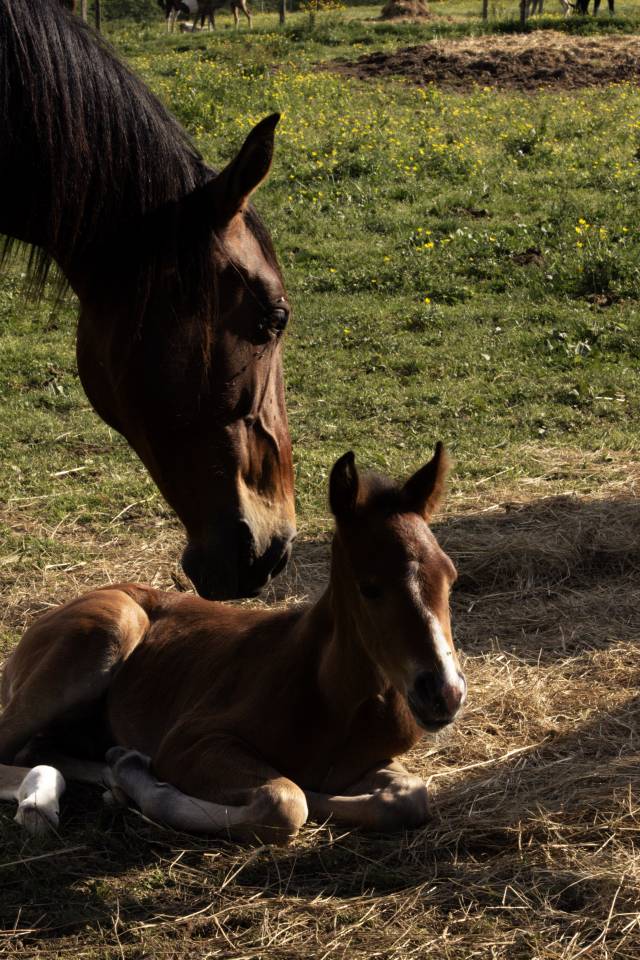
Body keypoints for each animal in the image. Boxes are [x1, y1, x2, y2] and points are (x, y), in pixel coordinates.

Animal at [0, 444, 466, 843]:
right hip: (111, 626)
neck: (332, 697)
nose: (444, 692)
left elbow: (407, 797)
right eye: (370, 588)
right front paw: (141, 777)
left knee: (40, 748)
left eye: (451, 577)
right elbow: (286, 799)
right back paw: (41, 800)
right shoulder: (189, 742)